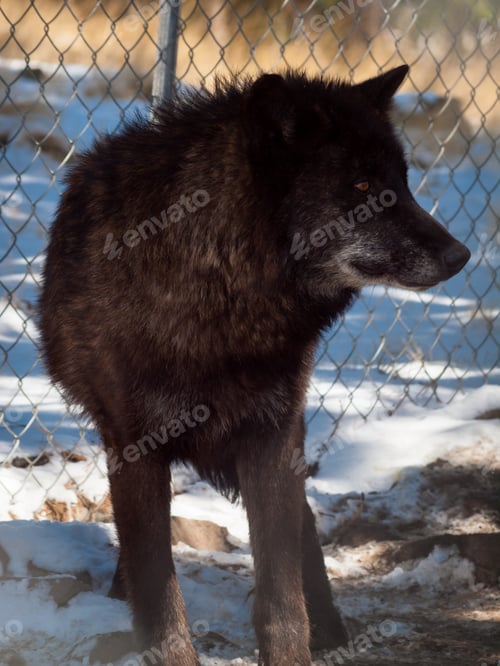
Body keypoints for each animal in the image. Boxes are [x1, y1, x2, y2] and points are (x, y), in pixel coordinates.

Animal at [38, 65, 470, 665]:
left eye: (403, 184)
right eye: (362, 188)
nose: (461, 255)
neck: (221, 292)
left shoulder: (271, 435)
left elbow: (281, 594)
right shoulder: (135, 446)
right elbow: (160, 591)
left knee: (303, 526)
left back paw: (330, 626)